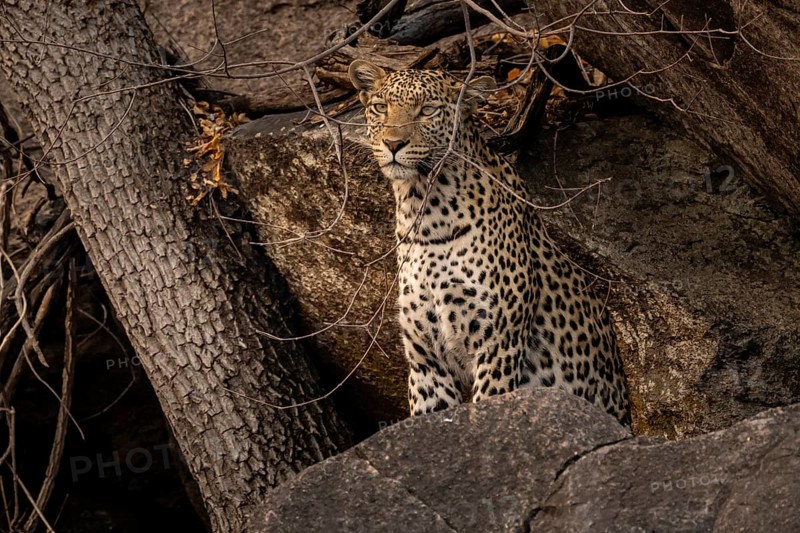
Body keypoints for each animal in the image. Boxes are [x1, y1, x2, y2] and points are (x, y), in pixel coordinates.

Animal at [349, 60, 630, 425]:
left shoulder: (498, 344)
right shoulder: (427, 363)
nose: (393, 143)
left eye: (427, 111)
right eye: (381, 107)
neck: (423, 212)